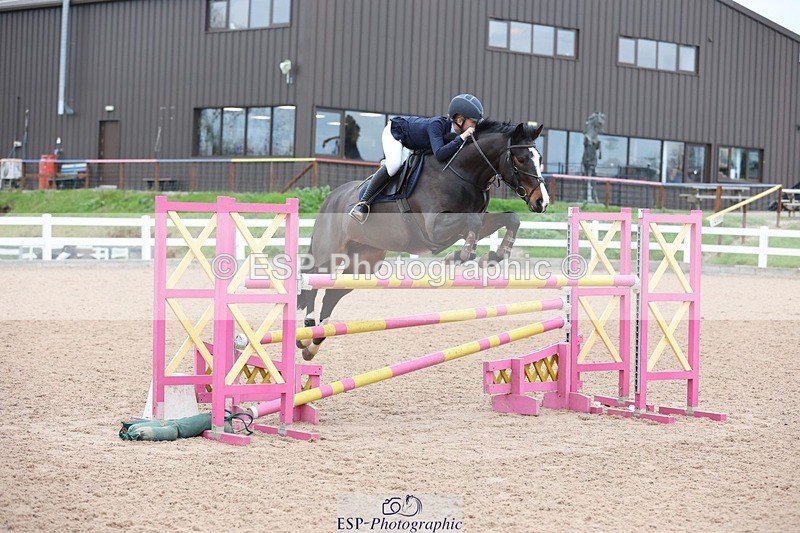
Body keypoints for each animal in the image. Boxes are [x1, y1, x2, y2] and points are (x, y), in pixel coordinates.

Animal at [296, 120, 549, 360]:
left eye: (539, 158)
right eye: (521, 159)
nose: (542, 202)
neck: (462, 173)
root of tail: (331, 198)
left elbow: (510, 218)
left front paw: (493, 256)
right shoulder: (434, 228)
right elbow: (473, 223)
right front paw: (458, 256)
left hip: (364, 262)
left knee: (332, 293)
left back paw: (313, 343)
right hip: (329, 253)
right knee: (312, 280)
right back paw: (306, 330)